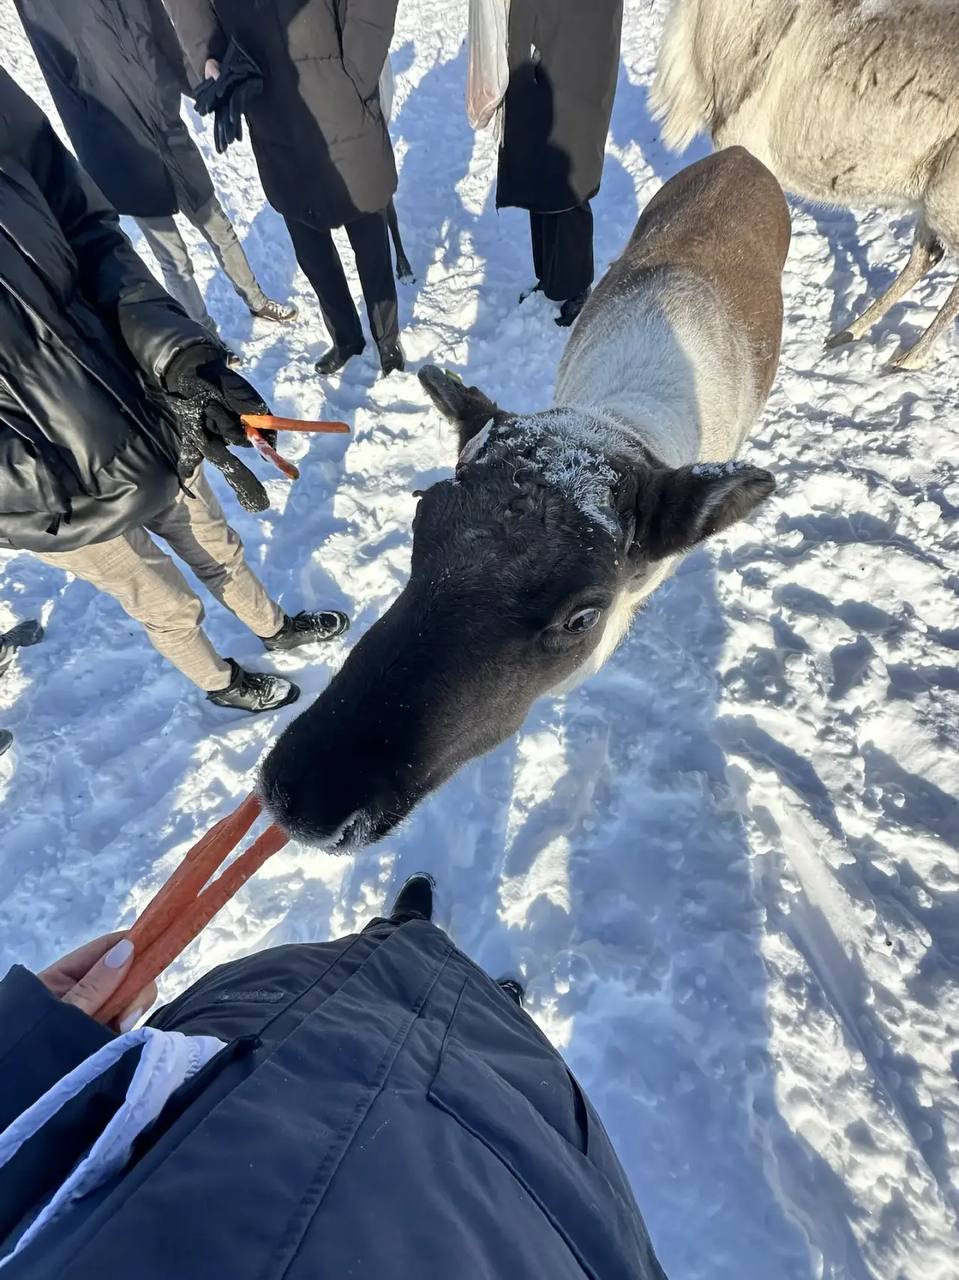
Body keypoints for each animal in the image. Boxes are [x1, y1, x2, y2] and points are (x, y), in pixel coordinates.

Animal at [650, 0, 959, 371]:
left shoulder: (745, 147)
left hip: (945, 199)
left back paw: (910, 356)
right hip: (930, 198)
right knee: (926, 256)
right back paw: (848, 332)